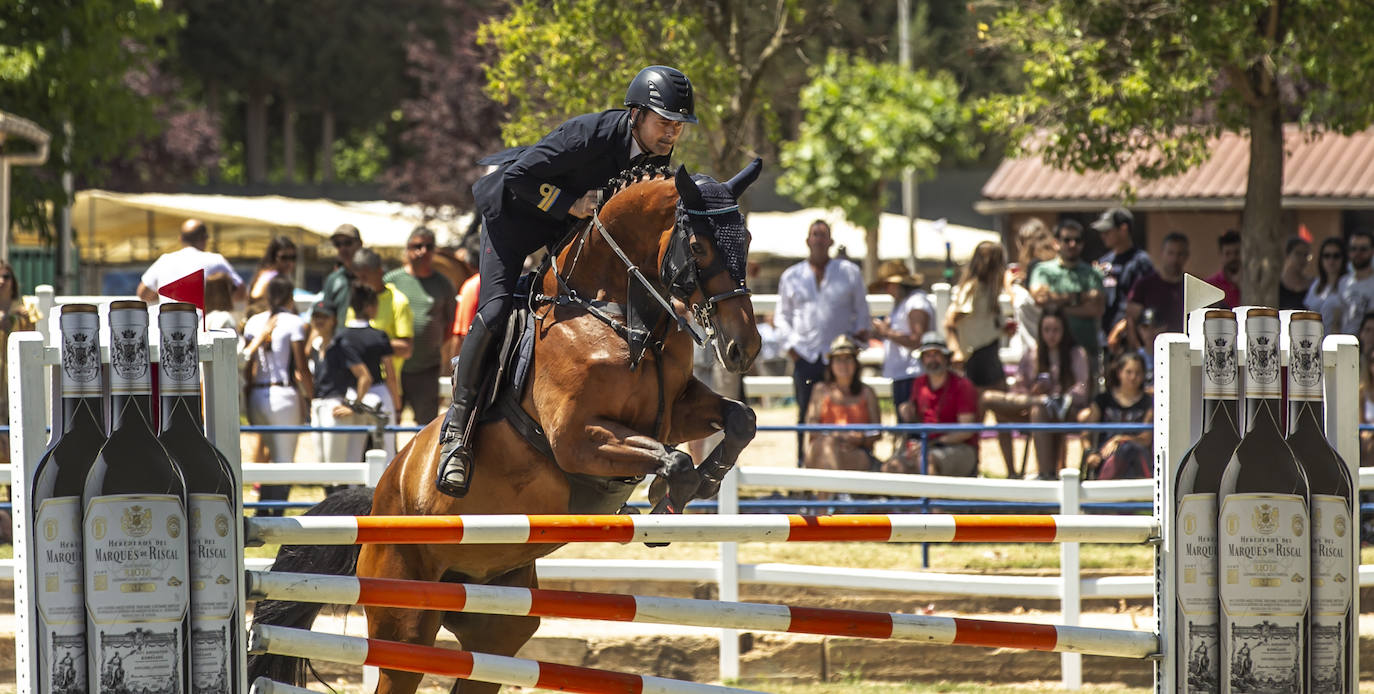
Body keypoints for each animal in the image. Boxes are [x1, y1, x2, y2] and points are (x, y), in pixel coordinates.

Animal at [252, 160, 769, 692]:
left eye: (748, 238)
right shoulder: (577, 439)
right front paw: (668, 497)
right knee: (399, 664)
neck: (617, 315)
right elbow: (677, 460)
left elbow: (740, 420)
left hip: (497, 622)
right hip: (405, 619)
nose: (744, 347)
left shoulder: (673, 410)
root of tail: (378, 500)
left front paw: (706, 483)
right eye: (700, 246)